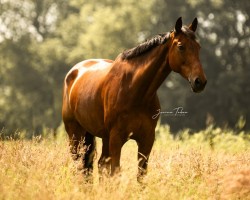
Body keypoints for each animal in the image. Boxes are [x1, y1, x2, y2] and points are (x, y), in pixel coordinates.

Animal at [62, 17, 207, 180]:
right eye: (181, 46)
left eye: (198, 47)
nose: (200, 82)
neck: (136, 91)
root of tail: (74, 72)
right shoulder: (116, 139)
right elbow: (116, 171)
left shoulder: (146, 140)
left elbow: (140, 175)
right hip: (75, 134)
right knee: (80, 165)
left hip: (100, 137)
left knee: (99, 164)